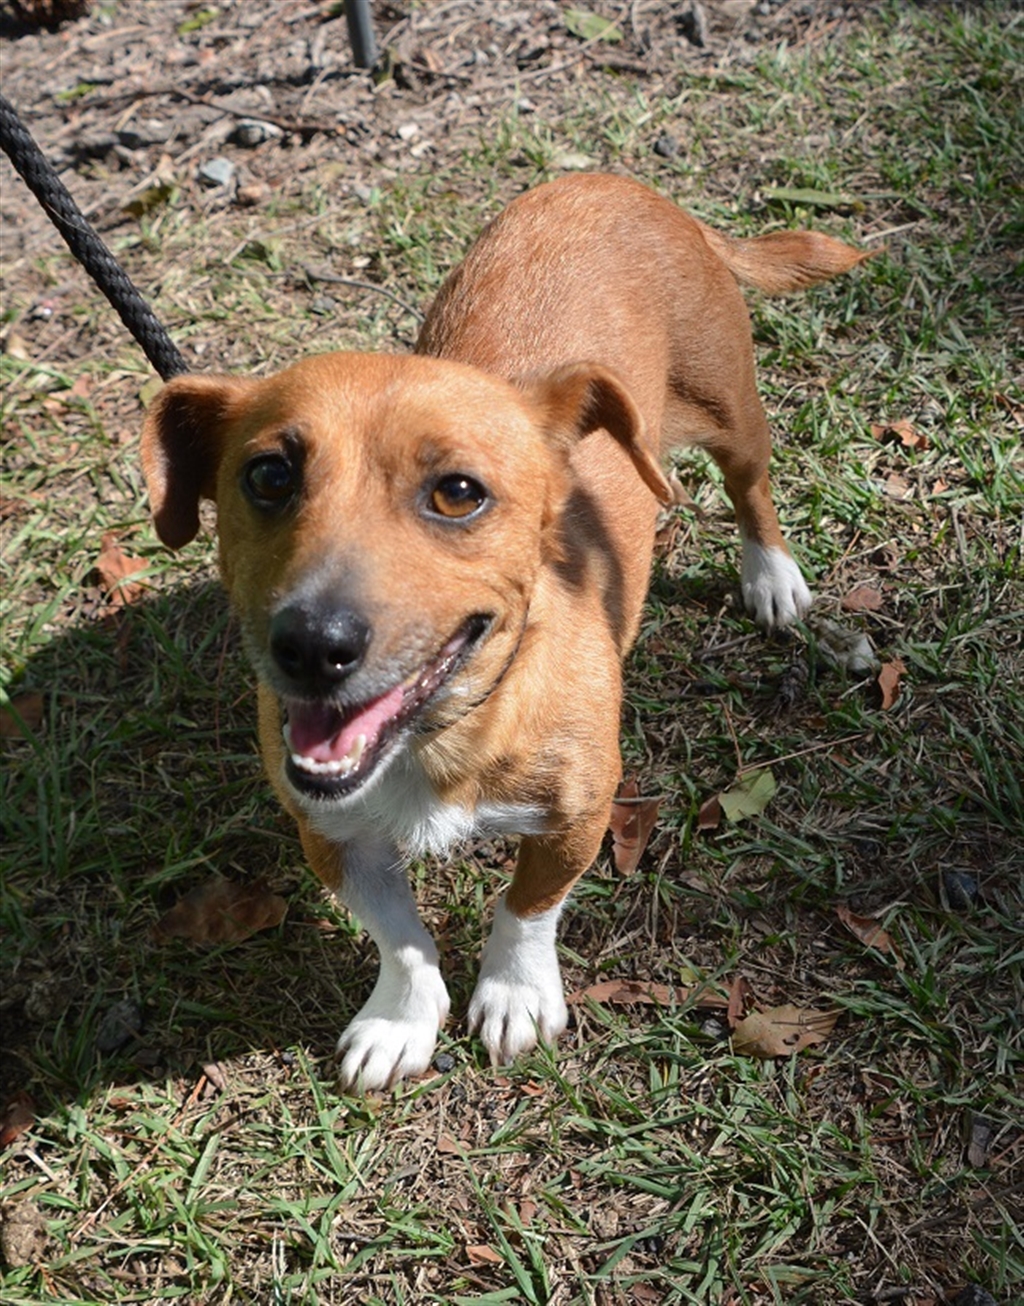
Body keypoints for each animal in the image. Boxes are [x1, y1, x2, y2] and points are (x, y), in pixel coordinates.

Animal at [140, 174, 868, 1090]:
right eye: (268, 475)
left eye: (458, 492)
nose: (312, 645)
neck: (441, 733)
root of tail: (620, 182)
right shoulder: (332, 836)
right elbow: (401, 937)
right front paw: (401, 1018)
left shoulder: (580, 814)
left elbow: (525, 907)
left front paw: (515, 992)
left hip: (730, 407)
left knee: (752, 489)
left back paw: (771, 575)